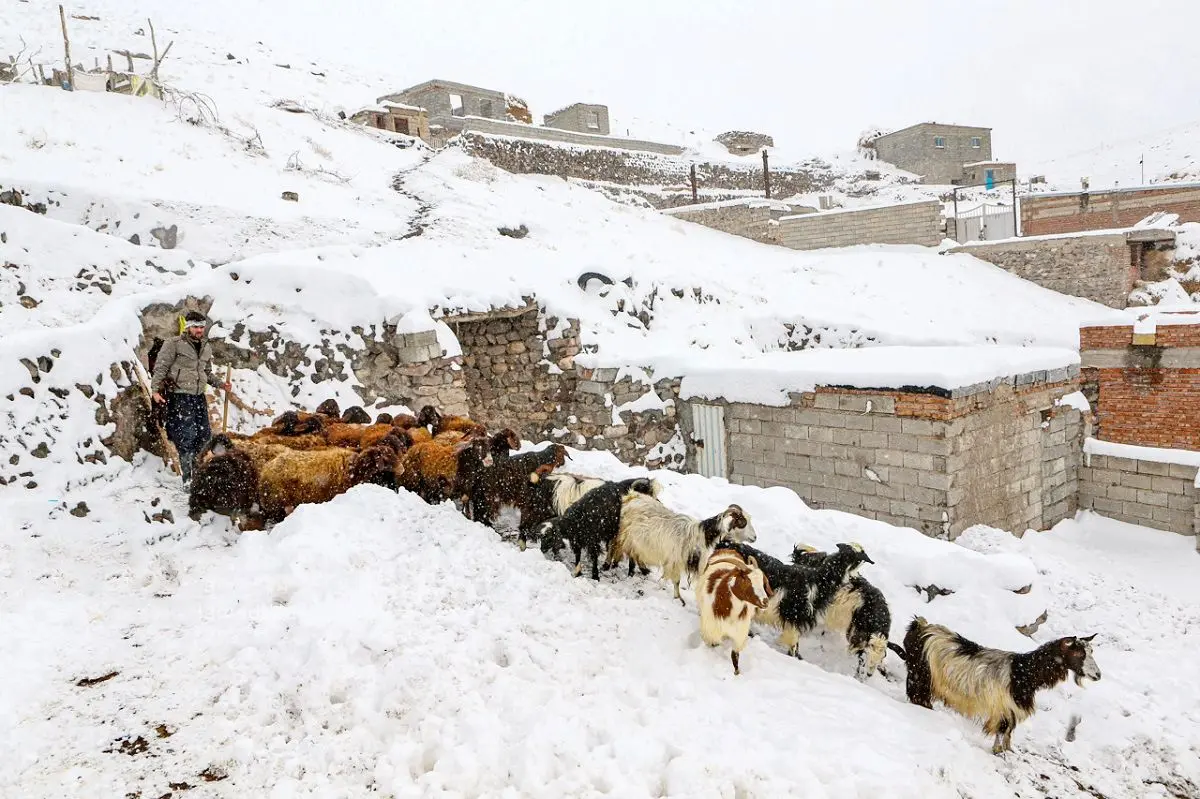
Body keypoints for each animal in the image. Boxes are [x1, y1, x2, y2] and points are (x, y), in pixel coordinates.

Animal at [614, 491, 753, 604]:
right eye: (743, 522)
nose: (754, 537)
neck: (702, 535)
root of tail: (631, 497)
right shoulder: (675, 561)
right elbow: (674, 580)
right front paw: (676, 597)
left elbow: (674, 580)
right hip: (625, 538)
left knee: (634, 555)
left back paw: (641, 571)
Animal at [902, 611, 1104, 748]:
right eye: (1078, 653)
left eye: (1091, 651)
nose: (1098, 675)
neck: (1022, 673)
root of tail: (920, 626)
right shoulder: (1004, 710)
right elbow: (1001, 736)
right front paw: (998, 753)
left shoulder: (1010, 712)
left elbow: (1008, 736)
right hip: (920, 676)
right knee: (918, 697)